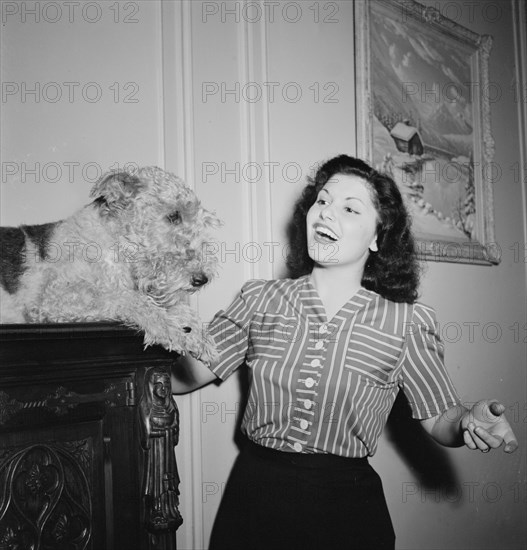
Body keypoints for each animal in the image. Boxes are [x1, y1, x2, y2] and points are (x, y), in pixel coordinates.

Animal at [0, 168, 221, 366]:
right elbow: (126, 298)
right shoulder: (53, 300)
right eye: (174, 215)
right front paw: (169, 329)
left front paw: (200, 337)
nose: (201, 279)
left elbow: (174, 307)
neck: (115, 241)